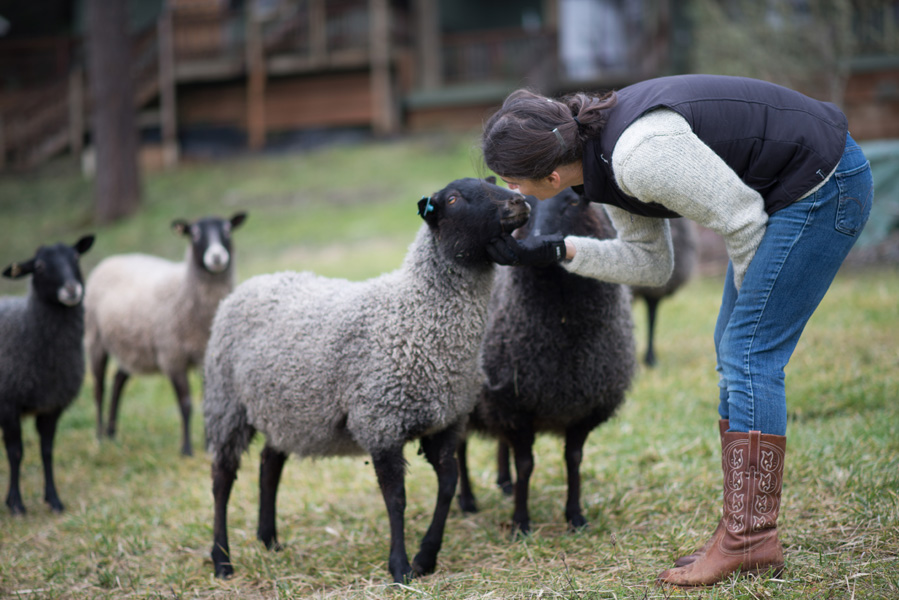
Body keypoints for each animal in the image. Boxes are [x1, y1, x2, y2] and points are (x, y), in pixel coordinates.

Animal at [0, 234, 95, 516]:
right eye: (39, 267)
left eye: (75, 257)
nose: (72, 289)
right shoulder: (8, 403)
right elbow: (16, 452)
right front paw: (16, 503)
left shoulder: (51, 405)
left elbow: (47, 451)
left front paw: (53, 500)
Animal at [83, 212, 246, 454]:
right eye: (195, 233)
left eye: (227, 229)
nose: (217, 257)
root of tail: (110, 259)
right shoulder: (172, 356)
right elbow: (186, 404)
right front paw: (186, 449)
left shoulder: (205, 356)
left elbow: (208, 402)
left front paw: (209, 445)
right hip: (95, 338)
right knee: (99, 388)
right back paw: (100, 435)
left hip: (132, 348)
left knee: (118, 380)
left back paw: (112, 432)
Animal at [200, 177, 532, 580]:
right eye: (453, 199)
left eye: (490, 182)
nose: (519, 203)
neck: (417, 315)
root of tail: (251, 284)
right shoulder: (381, 422)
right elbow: (396, 498)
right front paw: (400, 567)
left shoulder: (447, 423)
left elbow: (448, 487)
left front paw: (426, 558)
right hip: (226, 403)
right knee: (222, 479)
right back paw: (222, 560)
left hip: (284, 406)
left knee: (269, 463)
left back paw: (269, 540)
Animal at [458, 189, 640, 536]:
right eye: (525, 203)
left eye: (573, 201)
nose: (538, 240)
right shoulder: (515, 406)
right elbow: (526, 464)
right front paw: (520, 523)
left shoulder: (586, 406)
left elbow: (574, 459)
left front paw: (575, 517)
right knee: (458, 449)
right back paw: (467, 500)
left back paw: (504, 483)